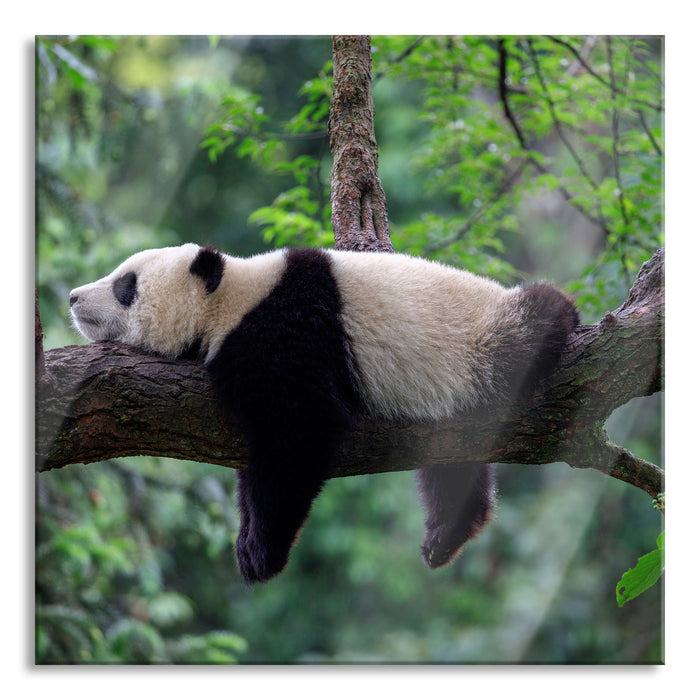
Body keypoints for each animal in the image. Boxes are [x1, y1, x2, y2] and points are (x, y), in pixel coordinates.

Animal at [69, 243, 579, 584]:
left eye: (126, 285)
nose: (73, 297)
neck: (232, 298)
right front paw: (246, 539)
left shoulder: (288, 333)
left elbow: (300, 433)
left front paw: (262, 552)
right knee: (451, 464)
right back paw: (446, 533)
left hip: (479, 341)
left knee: (531, 322)